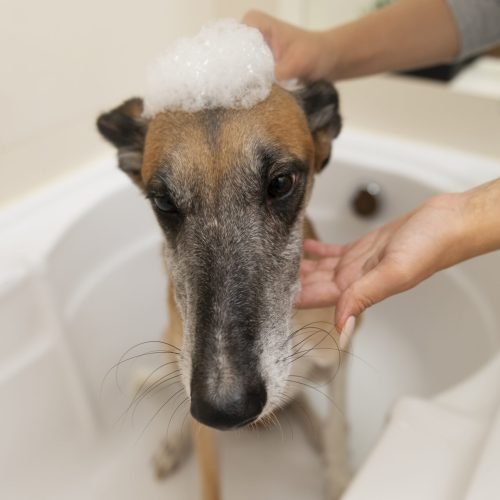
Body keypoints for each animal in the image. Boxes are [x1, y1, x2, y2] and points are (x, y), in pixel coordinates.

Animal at [95, 80, 350, 498]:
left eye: (281, 184)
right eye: (163, 201)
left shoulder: (340, 350)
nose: (224, 408)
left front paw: (339, 472)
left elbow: (337, 429)